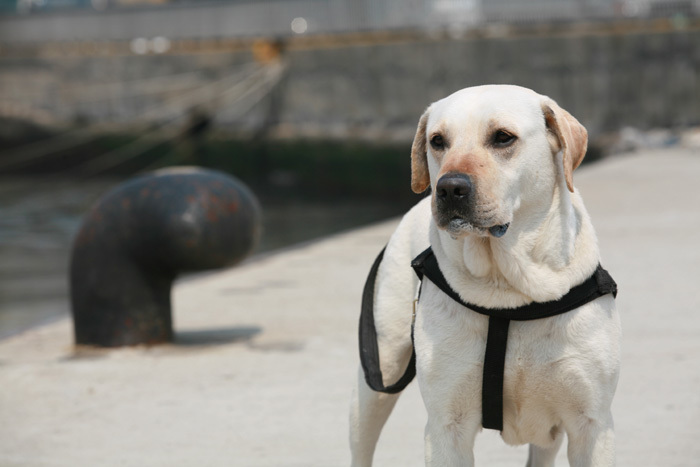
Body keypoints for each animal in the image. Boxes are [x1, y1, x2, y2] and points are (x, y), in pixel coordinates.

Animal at [348, 85, 616, 467]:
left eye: (503, 137)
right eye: (437, 141)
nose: (448, 188)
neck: (509, 291)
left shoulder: (592, 424)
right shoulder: (447, 427)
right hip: (379, 372)